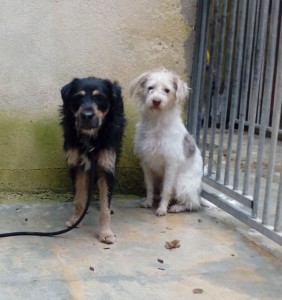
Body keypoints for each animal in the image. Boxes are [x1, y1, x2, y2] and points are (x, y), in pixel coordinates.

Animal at [60, 76, 125, 243]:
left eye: (99, 97)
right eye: (78, 97)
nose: (87, 116)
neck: (91, 139)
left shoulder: (107, 165)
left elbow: (105, 206)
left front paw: (106, 233)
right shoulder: (77, 164)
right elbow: (79, 198)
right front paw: (76, 220)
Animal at [130, 68, 203, 216]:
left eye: (167, 90)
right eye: (150, 88)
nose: (156, 101)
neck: (156, 122)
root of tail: (198, 194)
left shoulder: (171, 165)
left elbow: (167, 190)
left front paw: (162, 209)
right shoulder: (146, 163)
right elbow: (149, 187)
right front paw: (148, 202)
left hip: (182, 184)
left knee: (192, 204)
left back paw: (177, 207)